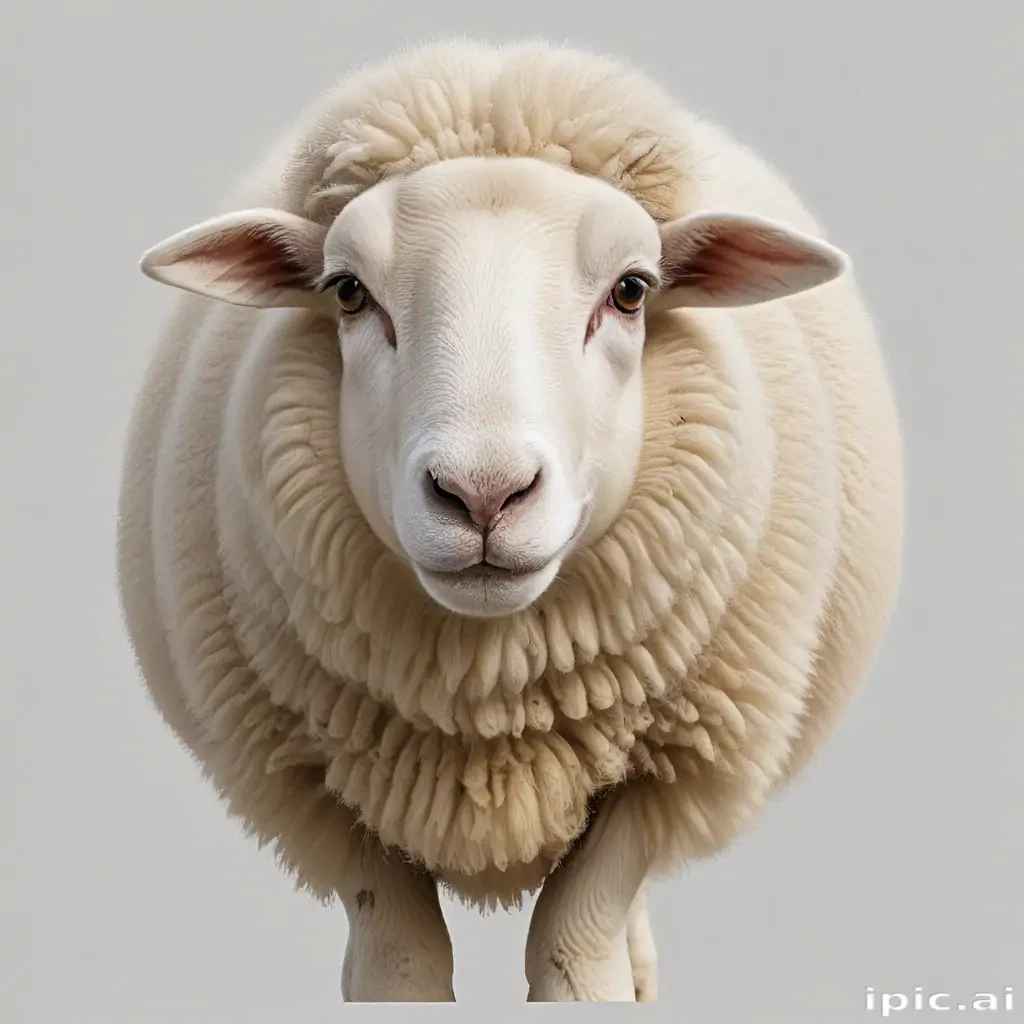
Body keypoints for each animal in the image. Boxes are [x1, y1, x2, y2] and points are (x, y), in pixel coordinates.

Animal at [117, 38, 903, 1003]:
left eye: (632, 291)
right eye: (347, 292)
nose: (483, 494)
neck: (489, 699)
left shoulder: (666, 770)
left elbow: (577, 948)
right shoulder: (317, 788)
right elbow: (400, 964)